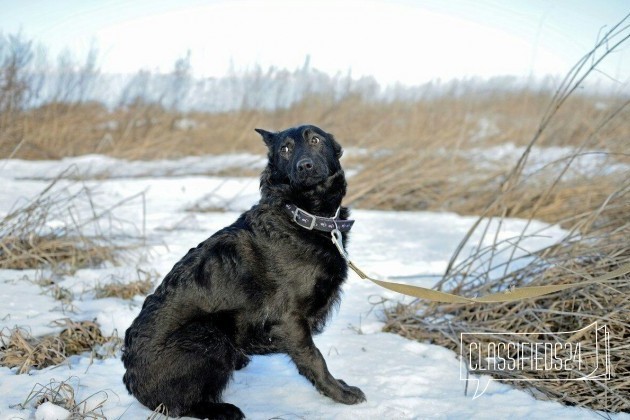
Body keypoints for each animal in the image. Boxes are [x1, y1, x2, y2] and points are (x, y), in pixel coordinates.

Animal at [122, 124, 366, 416]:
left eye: (316, 140)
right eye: (285, 148)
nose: (305, 166)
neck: (300, 216)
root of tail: (131, 381)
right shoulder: (289, 319)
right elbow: (314, 360)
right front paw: (341, 393)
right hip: (208, 335)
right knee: (179, 405)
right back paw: (223, 410)